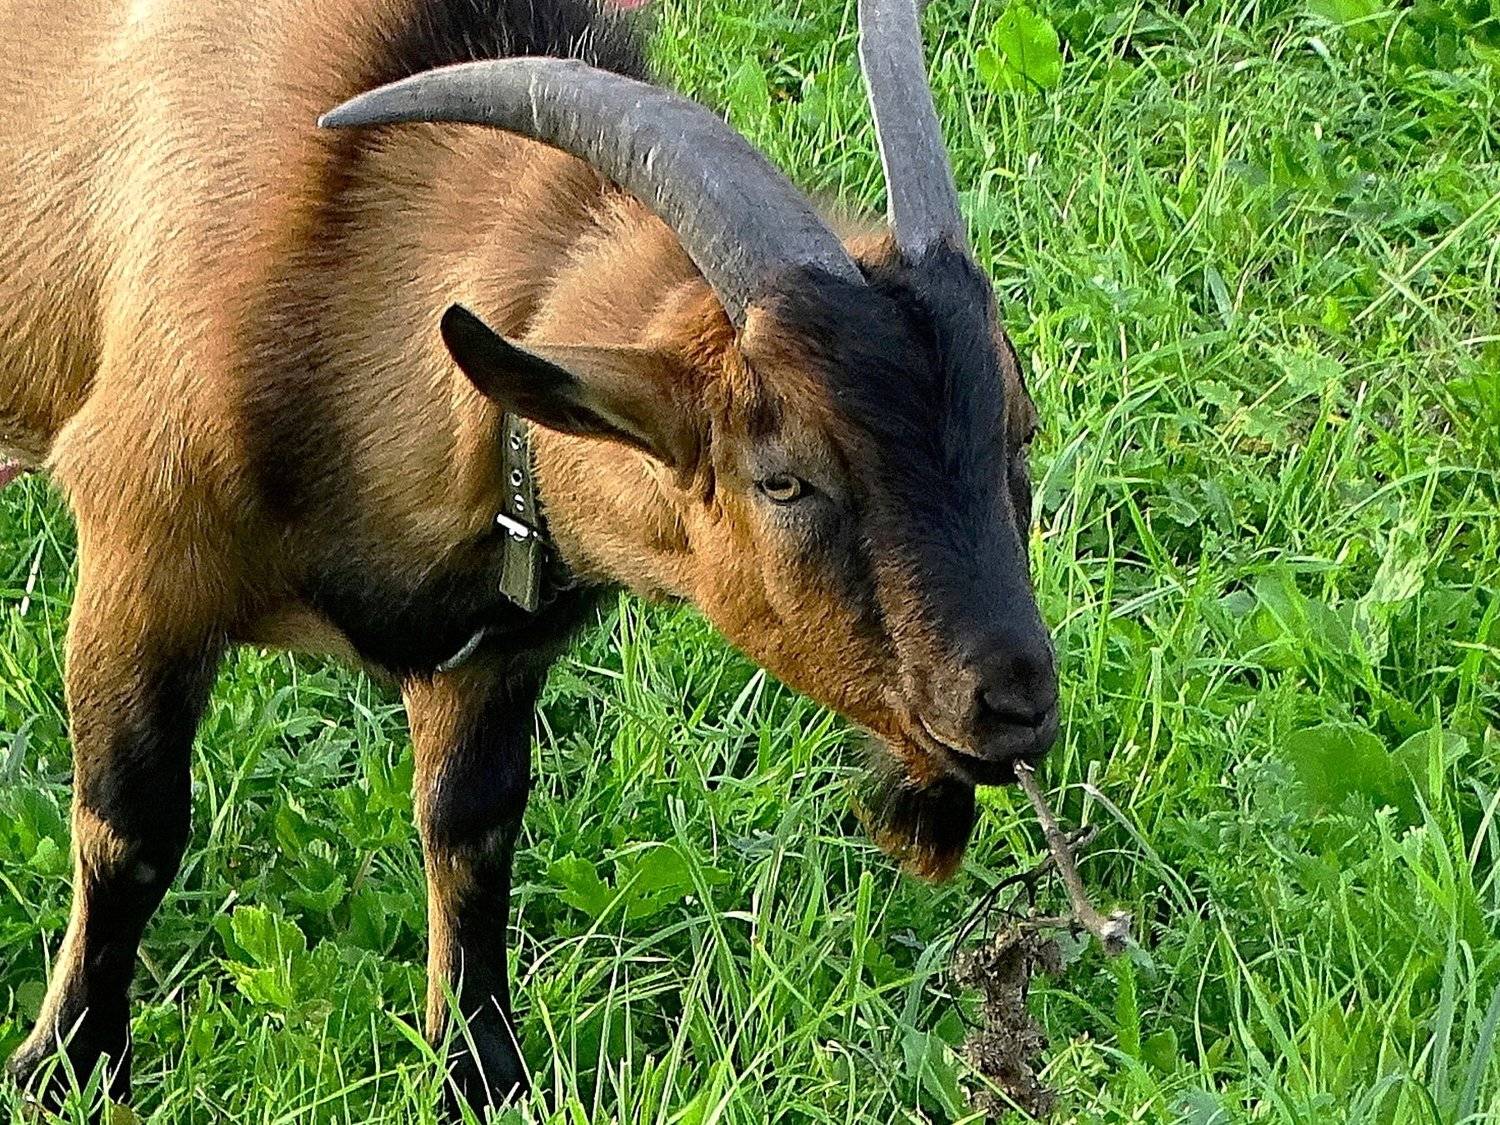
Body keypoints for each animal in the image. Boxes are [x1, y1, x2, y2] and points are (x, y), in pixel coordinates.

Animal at [0, 0, 1057, 1113]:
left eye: (1018, 428)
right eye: (784, 479)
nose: (1012, 701)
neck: (339, 252)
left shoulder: (496, 647)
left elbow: (471, 835)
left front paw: (478, 1071)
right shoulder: (141, 557)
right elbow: (131, 830)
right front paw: (64, 1067)